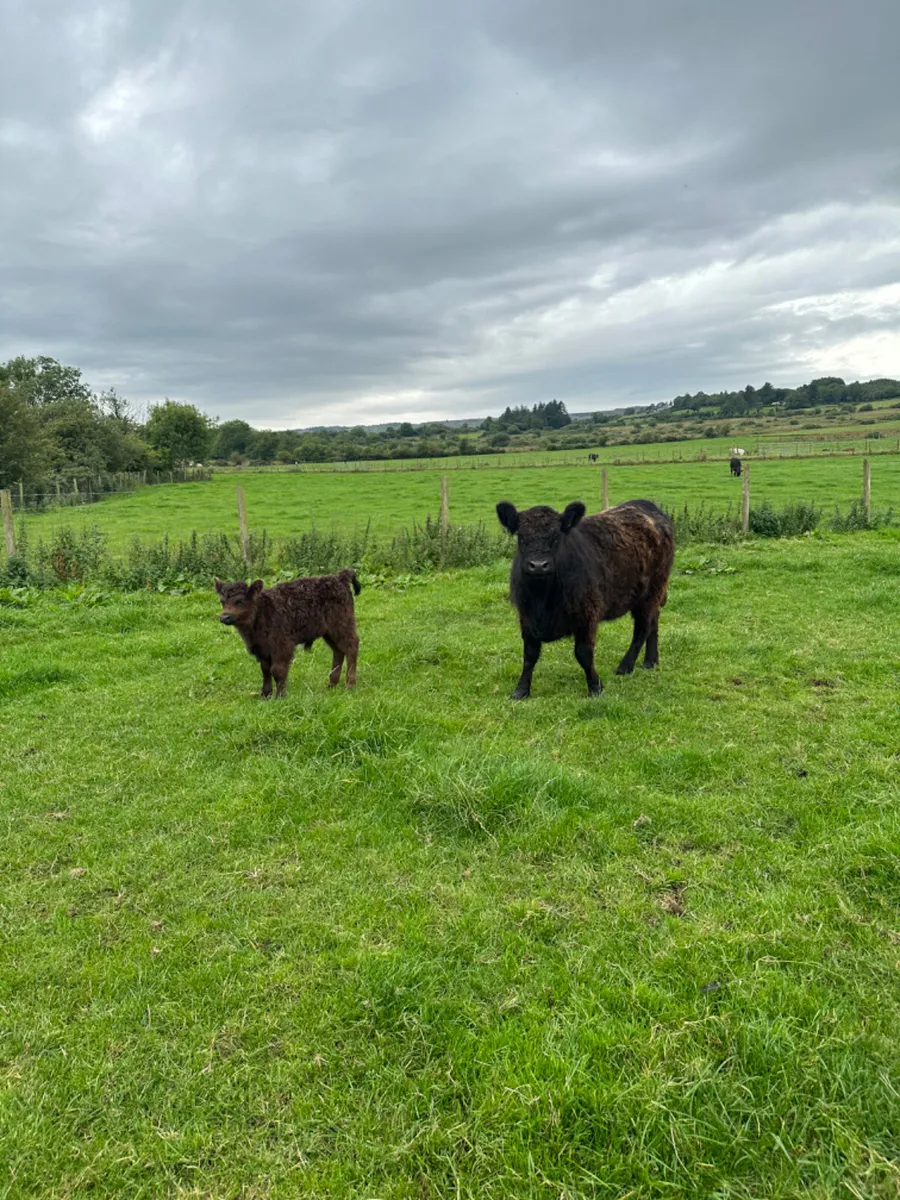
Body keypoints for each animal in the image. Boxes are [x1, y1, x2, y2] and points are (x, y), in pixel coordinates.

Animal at [214, 569, 361, 698]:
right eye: (222, 602)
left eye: (240, 601)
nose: (224, 617)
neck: (262, 612)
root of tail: (339, 578)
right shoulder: (262, 649)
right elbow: (265, 671)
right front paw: (265, 695)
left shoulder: (282, 647)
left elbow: (277, 671)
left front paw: (280, 696)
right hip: (329, 632)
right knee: (338, 651)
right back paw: (332, 684)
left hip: (342, 625)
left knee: (351, 647)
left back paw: (350, 685)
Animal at [496, 499, 674, 699]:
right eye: (522, 538)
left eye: (556, 537)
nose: (539, 565)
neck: (543, 598)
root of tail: (648, 505)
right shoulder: (526, 618)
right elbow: (529, 655)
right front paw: (520, 690)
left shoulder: (587, 615)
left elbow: (583, 654)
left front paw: (595, 687)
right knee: (653, 621)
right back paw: (650, 661)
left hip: (651, 592)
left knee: (642, 630)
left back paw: (625, 666)